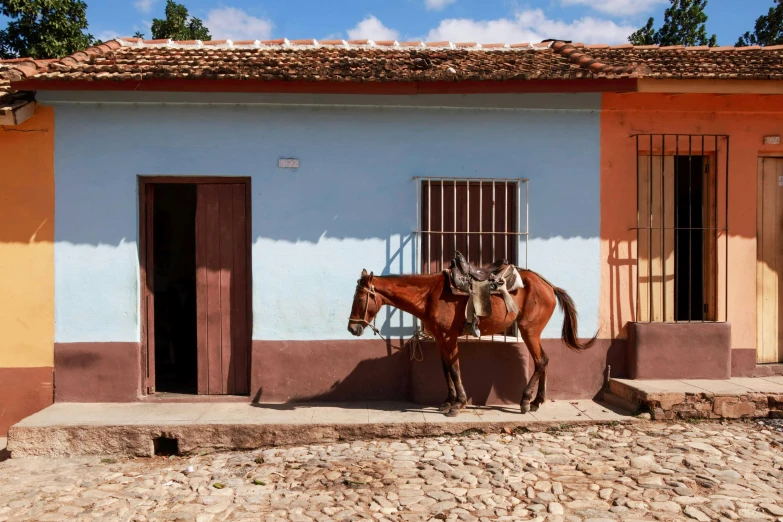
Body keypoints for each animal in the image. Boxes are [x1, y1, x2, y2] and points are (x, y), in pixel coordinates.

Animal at [346, 266, 596, 416]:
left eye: (359, 298)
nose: (351, 328)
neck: (428, 296)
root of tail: (549, 286)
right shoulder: (440, 339)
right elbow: (446, 369)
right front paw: (448, 400)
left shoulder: (449, 338)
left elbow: (455, 369)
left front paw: (458, 404)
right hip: (533, 332)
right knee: (543, 360)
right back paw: (537, 401)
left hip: (529, 331)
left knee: (541, 361)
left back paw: (526, 401)